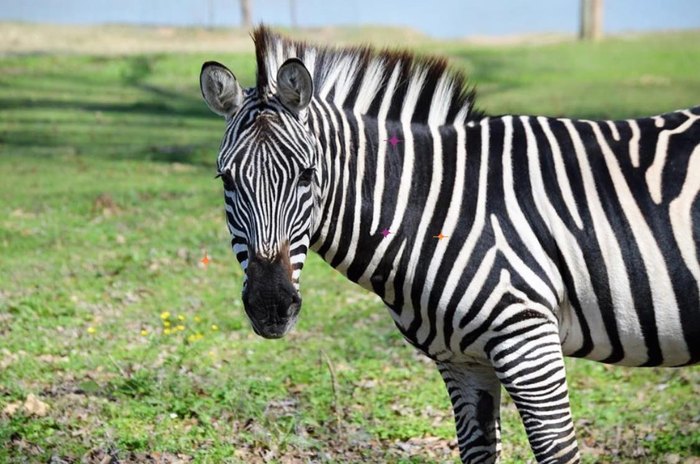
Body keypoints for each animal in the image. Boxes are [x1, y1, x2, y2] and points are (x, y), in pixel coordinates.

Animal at [198, 26, 700, 464]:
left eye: (307, 175)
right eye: (225, 179)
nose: (270, 306)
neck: (436, 210)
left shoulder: (528, 340)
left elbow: (557, 452)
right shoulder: (462, 360)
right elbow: (478, 451)